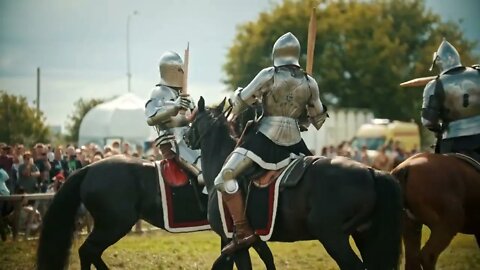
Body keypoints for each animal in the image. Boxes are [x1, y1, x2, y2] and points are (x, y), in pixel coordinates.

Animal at [36, 156, 276, 268]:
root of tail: (87, 169)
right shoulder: (243, 231)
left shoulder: (235, 234)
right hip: (113, 226)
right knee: (88, 251)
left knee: (90, 252)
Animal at [186, 97, 404, 270]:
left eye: (192, 119)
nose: (186, 139)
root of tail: (371, 171)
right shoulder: (254, 240)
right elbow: (268, 259)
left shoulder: (234, 242)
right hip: (365, 235)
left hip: (333, 237)